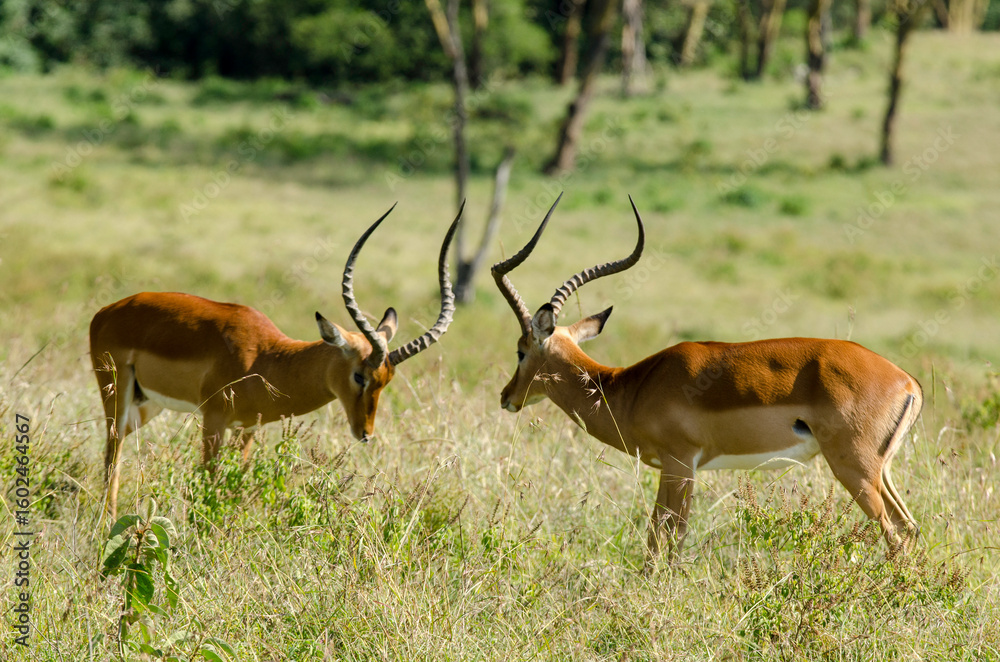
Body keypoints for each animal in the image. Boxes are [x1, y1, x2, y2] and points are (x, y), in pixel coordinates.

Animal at [91, 205, 460, 517]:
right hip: (117, 396)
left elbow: (234, 484)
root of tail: (105, 313)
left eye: (387, 381)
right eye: (360, 376)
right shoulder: (213, 420)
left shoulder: (247, 428)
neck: (267, 357)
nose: (365, 433)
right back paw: (107, 525)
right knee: (112, 456)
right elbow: (209, 479)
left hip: (145, 405)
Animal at [492, 195, 922, 558]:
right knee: (910, 527)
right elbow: (659, 535)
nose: (506, 396)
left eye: (521, 349)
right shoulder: (673, 468)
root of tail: (908, 382)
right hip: (879, 470)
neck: (631, 388)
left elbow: (668, 538)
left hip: (855, 468)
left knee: (895, 535)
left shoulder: (680, 463)